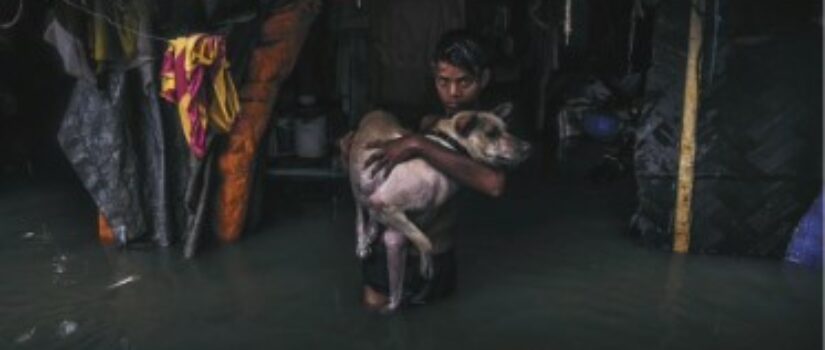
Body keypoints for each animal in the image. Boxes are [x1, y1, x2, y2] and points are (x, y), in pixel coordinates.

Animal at [346, 103, 528, 312]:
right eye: (491, 133)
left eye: (507, 129)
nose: (528, 147)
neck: (450, 146)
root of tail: (374, 113)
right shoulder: (383, 202)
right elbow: (424, 241)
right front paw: (426, 264)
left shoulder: (395, 232)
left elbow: (397, 290)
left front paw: (393, 304)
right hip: (358, 187)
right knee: (360, 213)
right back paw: (362, 242)